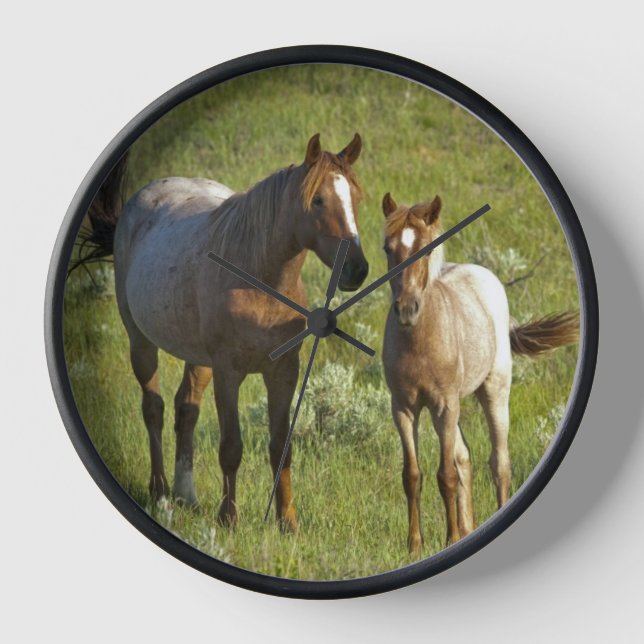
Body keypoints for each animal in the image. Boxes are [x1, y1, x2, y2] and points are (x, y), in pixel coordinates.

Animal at [76, 133, 368, 532]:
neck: (258, 280)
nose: (356, 269)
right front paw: (229, 518)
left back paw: (187, 496)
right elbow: (231, 447)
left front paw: (287, 522)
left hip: (199, 359)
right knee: (154, 408)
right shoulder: (229, 373)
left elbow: (281, 446)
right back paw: (161, 494)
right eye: (318, 200)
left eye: (355, 197)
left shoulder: (284, 371)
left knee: (186, 408)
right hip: (141, 341)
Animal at [380, 192, 579, 553]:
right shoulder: (403, 408)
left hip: (494, 392)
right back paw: (467, 530)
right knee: (465, 458)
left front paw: (449, 538)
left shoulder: (444, 406)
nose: (406, 309)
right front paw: (415, 545)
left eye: (426, 249)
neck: (420, 342)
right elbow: (413, 474)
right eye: (388, 248)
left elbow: (445, 475)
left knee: (499, 463)